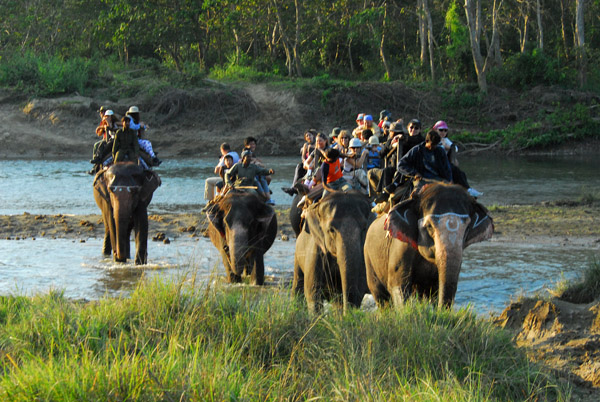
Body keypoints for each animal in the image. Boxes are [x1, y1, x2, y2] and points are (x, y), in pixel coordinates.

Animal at [364, 182, 494, 308]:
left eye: (466, 228)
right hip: (369, 259)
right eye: (429, 226)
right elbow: (398, 284)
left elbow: (438, 287)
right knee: (381, 296)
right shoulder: (400, 247)